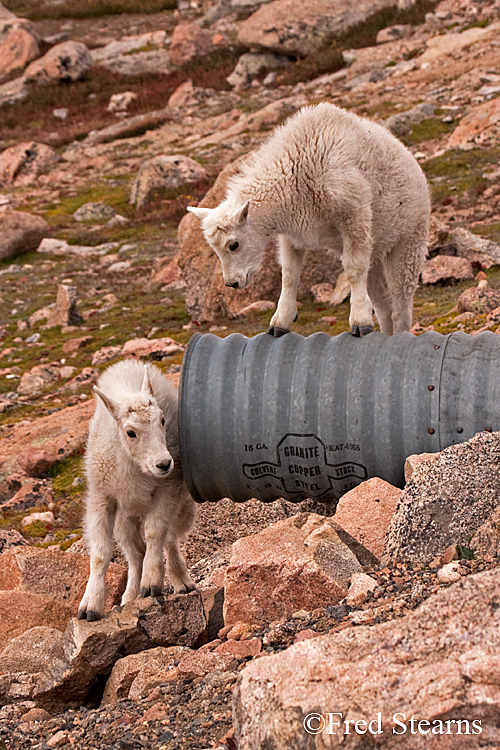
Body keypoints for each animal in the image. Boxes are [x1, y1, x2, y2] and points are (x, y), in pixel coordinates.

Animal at [78, 360, 195, 624]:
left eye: (163, 420)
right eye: (130, 432)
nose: (164, 464)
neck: (136, 465)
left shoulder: (168, 489)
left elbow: (155, 533)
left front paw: (151, 584)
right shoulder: (102, 497)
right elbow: (100, 553)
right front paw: (90, 607)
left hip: (182, 504)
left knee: (170, 539)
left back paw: (180, 581)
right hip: (125, 517)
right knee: (135, 552)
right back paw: (130, 596)